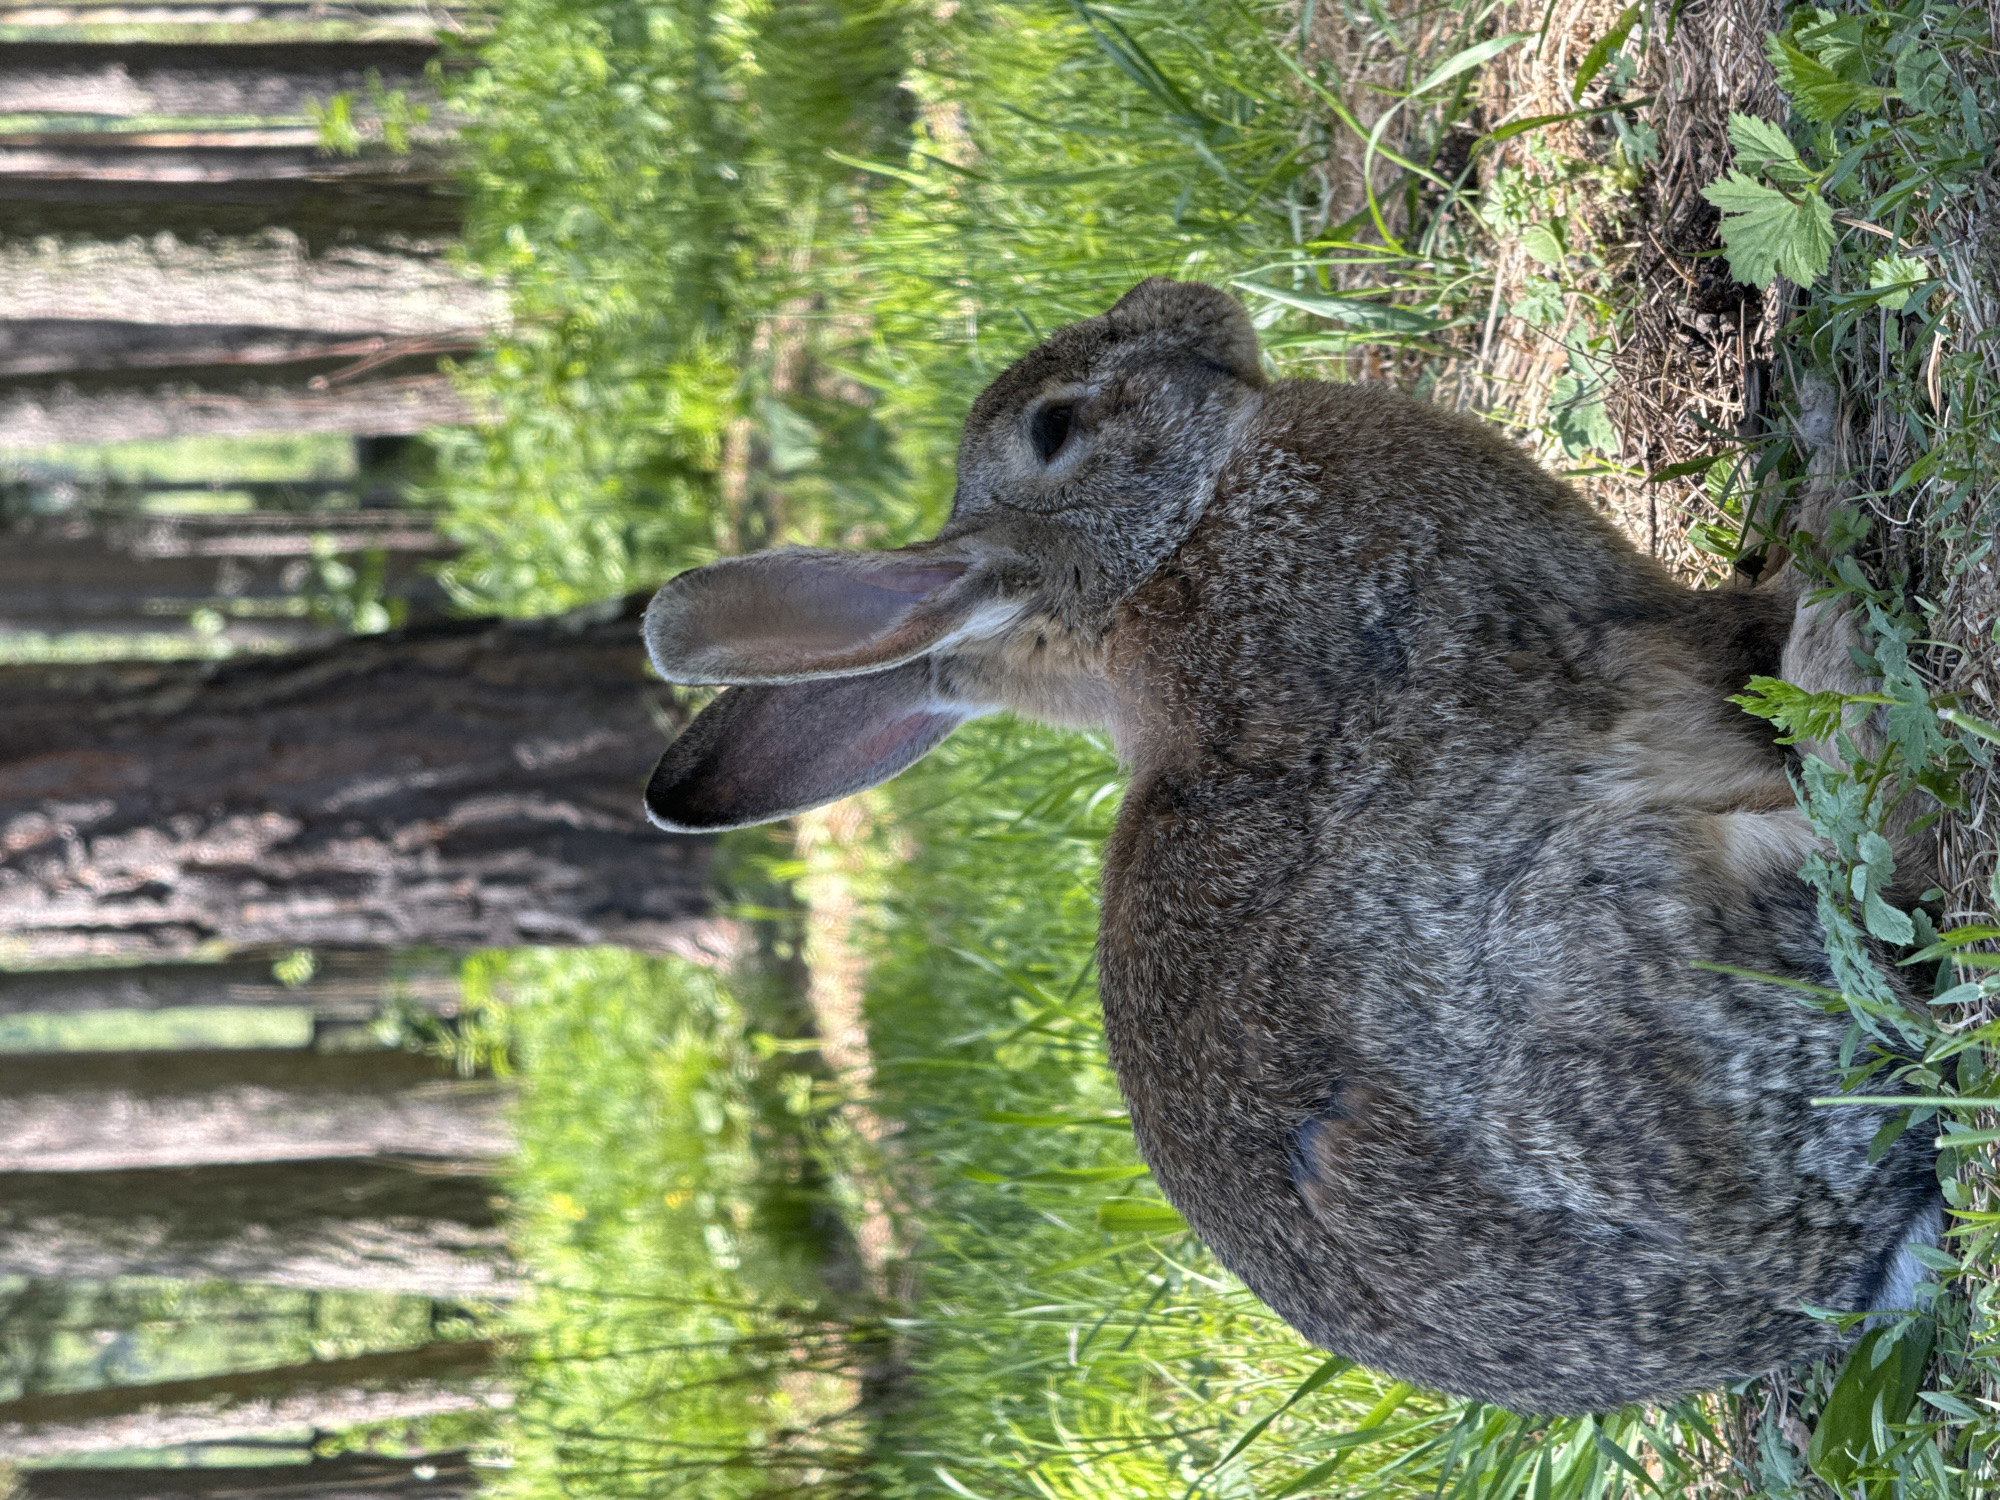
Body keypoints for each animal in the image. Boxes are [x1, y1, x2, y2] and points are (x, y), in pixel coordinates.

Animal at [638, 277, 1943, 1414]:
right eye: (1055, 428)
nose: (1178, 299)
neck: (1162, 556)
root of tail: (1806, 1276)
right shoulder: (1618, 633)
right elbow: (1739, 651)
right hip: (1629, 922)